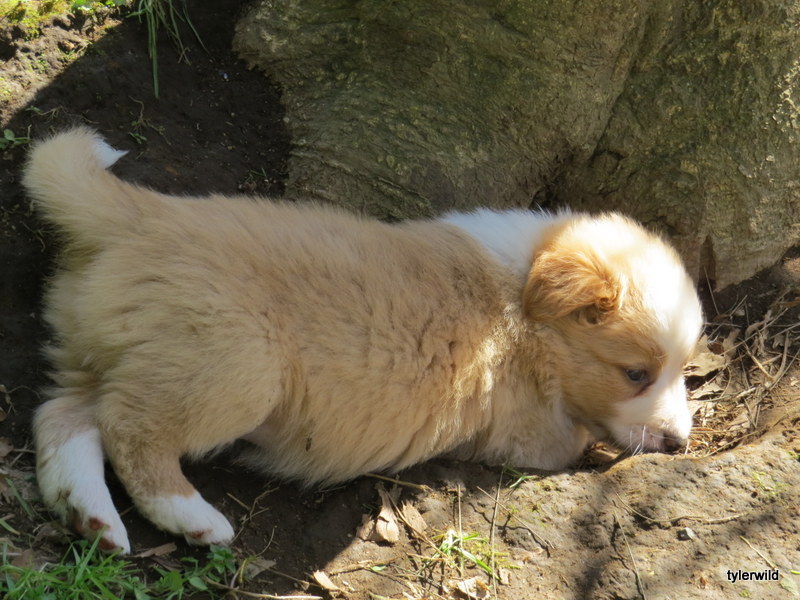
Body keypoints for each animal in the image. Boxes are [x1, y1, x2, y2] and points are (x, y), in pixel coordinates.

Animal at [24, 128, 703, 554]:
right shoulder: (527, 430)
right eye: (635, 373)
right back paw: (195, 519)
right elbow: (577, 439)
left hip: (115, 353)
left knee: (64, 416)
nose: (680, 444)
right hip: (237, 365)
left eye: (682, 369)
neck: (527, 302)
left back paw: (92, 519)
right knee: (130, 431)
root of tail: (138, 214)